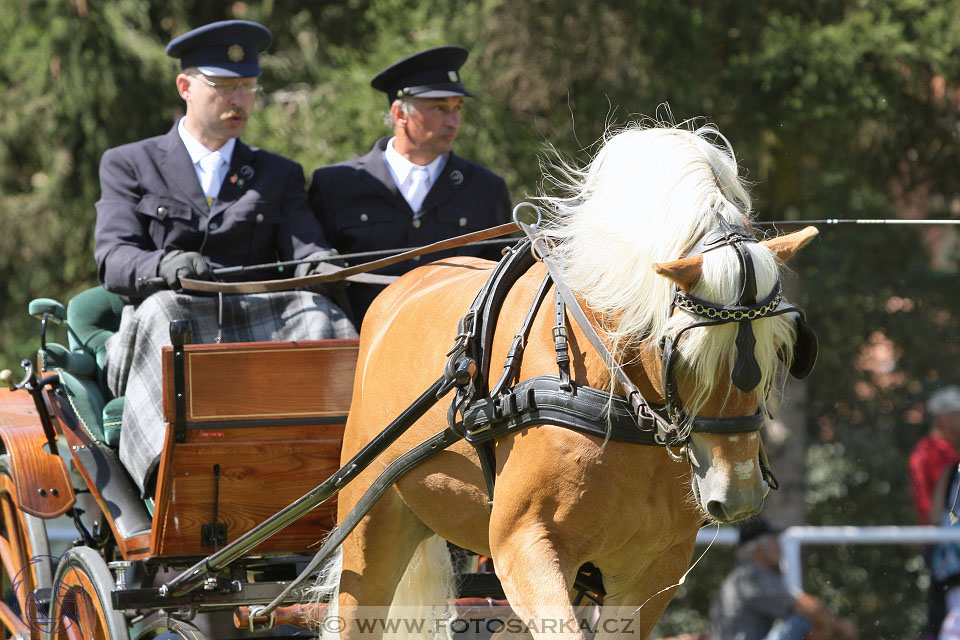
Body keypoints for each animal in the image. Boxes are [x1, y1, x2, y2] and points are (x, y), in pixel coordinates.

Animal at [330, 122, 816, 636]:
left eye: (780, 350)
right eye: (683, 355)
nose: (739, 494)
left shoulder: (655, 565)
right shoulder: (523, 543)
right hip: (370, 520)